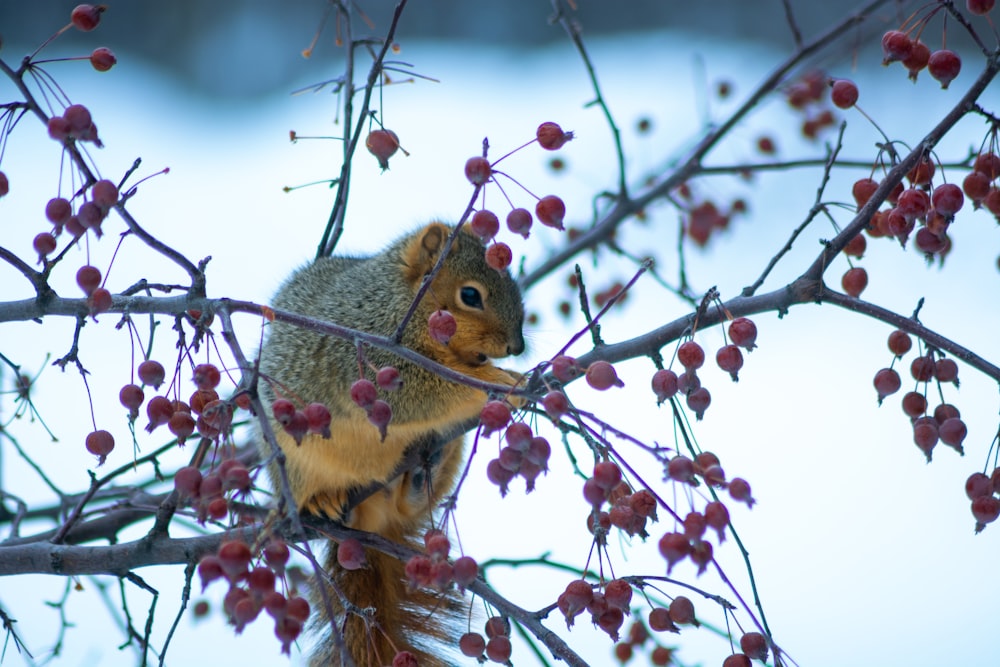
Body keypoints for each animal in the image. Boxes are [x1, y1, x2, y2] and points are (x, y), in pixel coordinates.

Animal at [256, 222, 524, 664]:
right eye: (470, 295)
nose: (516, 348)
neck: (400, 302)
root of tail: (373, 521)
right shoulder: (369, 352)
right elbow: (424, 390)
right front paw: (499, 381)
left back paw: (422, 471)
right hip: (291, 461)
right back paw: (323, 501)